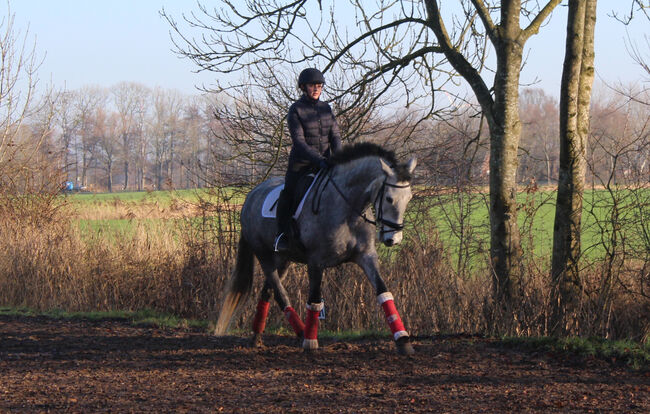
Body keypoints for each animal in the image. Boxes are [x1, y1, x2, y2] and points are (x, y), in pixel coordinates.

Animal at [213, 143, 416, 356]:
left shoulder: (366, 257)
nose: (393, 239)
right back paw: (302, 333)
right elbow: (315, 299)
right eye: (389, 198)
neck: (347, 209)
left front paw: (403, 340)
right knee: (280, 294)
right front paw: (311, 343)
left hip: (282, 260)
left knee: (267, 291)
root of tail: (250, 197)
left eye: (409, 198)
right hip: (264, 256)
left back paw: (258, 336)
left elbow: (384, 292)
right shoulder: (316, 262)